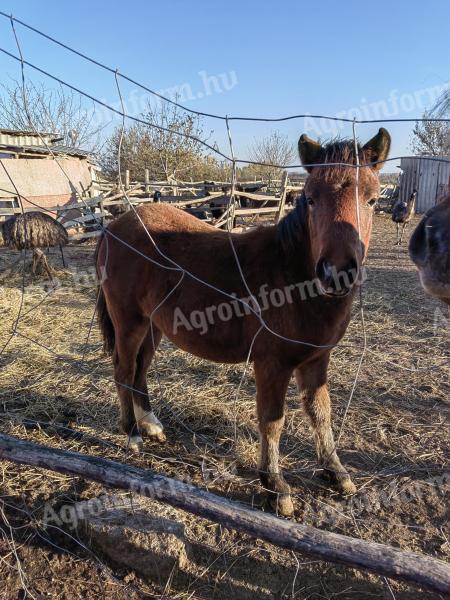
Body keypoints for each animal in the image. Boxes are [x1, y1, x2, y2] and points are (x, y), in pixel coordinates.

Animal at [96, 127, 390, 516]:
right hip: (129, 320)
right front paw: (275, 486)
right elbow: (272, 421)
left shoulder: (316, 359)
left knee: (140, 369)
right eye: (311, 199)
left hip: (153, 324)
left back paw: (152, 425)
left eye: (372, 200)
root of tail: (114, 225)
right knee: (124, 369)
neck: (290, 275)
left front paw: (336, 472)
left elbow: (320, 412)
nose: (336, 272)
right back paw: (131, 434)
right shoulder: (271, 364)